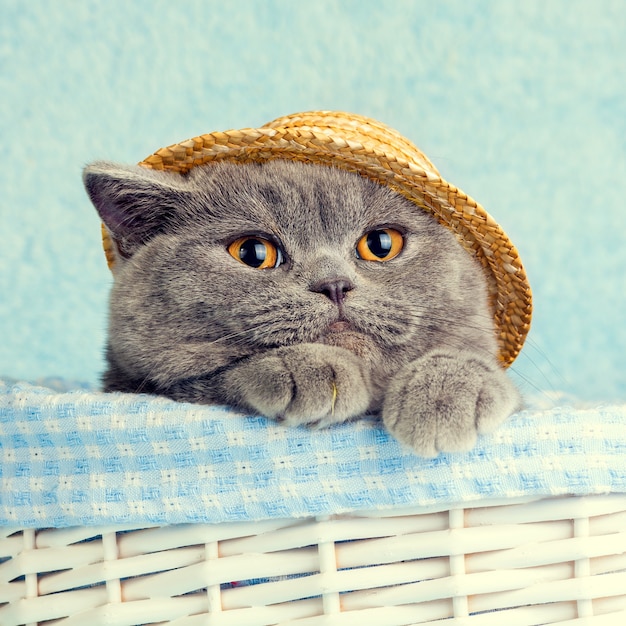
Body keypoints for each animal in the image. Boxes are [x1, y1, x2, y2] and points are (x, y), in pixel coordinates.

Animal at [84, 158, 520, 456]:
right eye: (253, 252)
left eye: (381, 244)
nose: (334, 284)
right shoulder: (136, 386)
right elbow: (212, 377)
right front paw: (312, 369)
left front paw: (444, 394)